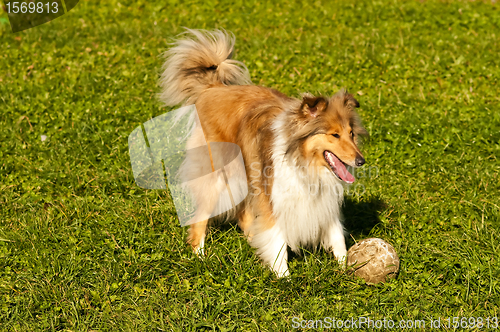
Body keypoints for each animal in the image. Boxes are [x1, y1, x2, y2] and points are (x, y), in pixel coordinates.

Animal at [160, 29, 368, 278]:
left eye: (351, 134)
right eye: (334, 135)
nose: (361, 161)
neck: (302, 160)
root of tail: (213, 88)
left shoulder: (322, 201)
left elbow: (336, 236)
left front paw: (346, 269)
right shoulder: (272, 196)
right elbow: (277, 240)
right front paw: (284, 278)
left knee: (243, 214)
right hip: (217, 175)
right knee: (201, 217)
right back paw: (200, 257)